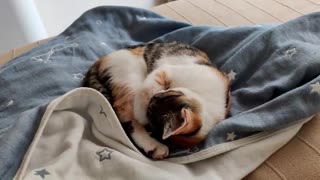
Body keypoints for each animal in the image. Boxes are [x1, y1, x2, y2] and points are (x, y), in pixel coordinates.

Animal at [83, 41, 230, 160]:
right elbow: (148, 88)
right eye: (162, 95)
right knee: (123, 110)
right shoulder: (166, 70)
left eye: (158, 99)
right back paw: (153, 145)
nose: (154, 98)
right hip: (130, 76)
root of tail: (99, 61)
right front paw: (140, 112)